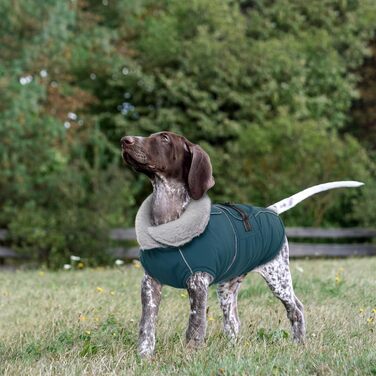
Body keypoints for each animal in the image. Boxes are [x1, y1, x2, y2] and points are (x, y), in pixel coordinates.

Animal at [120, 131, 362, 356]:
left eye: (164, 138)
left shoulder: (197, 283)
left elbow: (195, 327)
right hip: (227, 288)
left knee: (296, 309)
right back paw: (233, 350)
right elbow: (147, 326)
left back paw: (299, 345)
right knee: (233, 322)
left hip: (278, 278)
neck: (168, 222)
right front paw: (144, 356)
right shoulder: (150, 283)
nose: (125, 140)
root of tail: (269, 211)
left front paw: (189, 355)